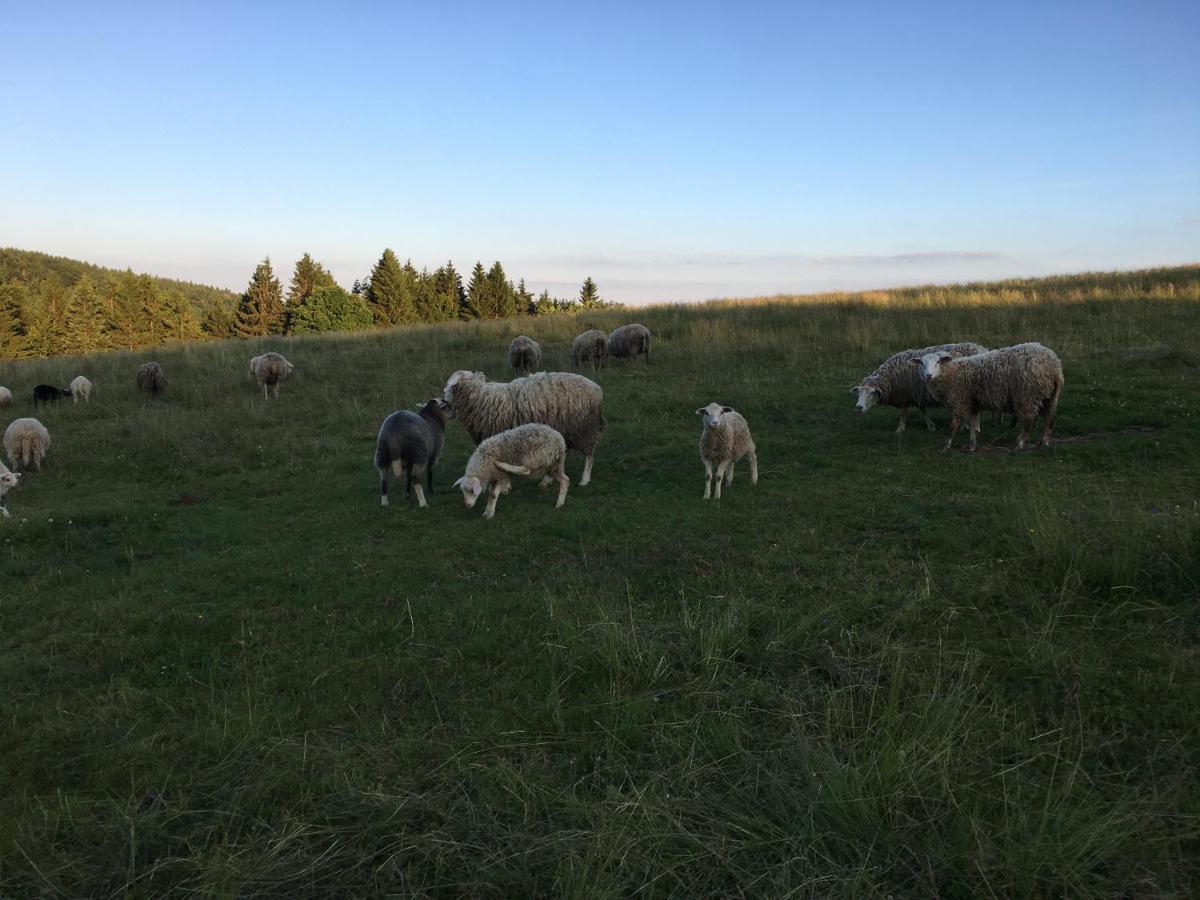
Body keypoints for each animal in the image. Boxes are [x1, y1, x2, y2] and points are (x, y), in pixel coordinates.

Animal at [441, 369, 604, 489]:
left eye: (449, 385)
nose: (443, 401)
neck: (481, 399)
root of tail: (596, 390)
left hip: (583, 428)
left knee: (589, 455)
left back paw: (584, 479)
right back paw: (547, 480)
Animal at [849, 340, 988, 434]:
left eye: (871, 393)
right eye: (858, 393)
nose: (858, 407)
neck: (890, 378)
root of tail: (983, 349)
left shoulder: (906, 394)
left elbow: (904, 412)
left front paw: (900, 429)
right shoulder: (917, 394)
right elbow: (922, 410)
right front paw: (931, 426)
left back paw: (975, 428)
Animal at [912, 340, 1065, 451]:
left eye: (938, 362)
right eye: (922, 363)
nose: (928, 375)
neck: (952, 373)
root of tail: (1053, 365)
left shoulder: (960, 400)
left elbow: (955, 425)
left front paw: (947, 445)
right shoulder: (971, 402)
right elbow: (972, 423)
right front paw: (972, 445)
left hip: (1027, 395)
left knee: (1029, 421)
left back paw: (1019, 444)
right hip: (1050, 395)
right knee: (1050, 417)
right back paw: (1043, 442)